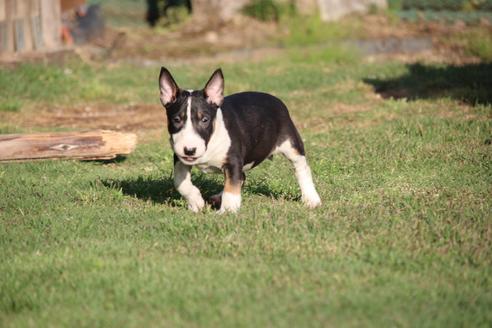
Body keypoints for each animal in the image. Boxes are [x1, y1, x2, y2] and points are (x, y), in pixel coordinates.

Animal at [158, 68, 320, 214]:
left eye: (204, 119)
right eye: (176, 120)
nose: (190, 150)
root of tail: (275, 99)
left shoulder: (233, 161)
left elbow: (231, 187)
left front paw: (227, 211)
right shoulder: (179, 159)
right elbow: (180, 182)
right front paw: (196, 203)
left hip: (291, 144)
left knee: (302, 168)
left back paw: (311, 199)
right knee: (241, 177)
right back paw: (217, 197)